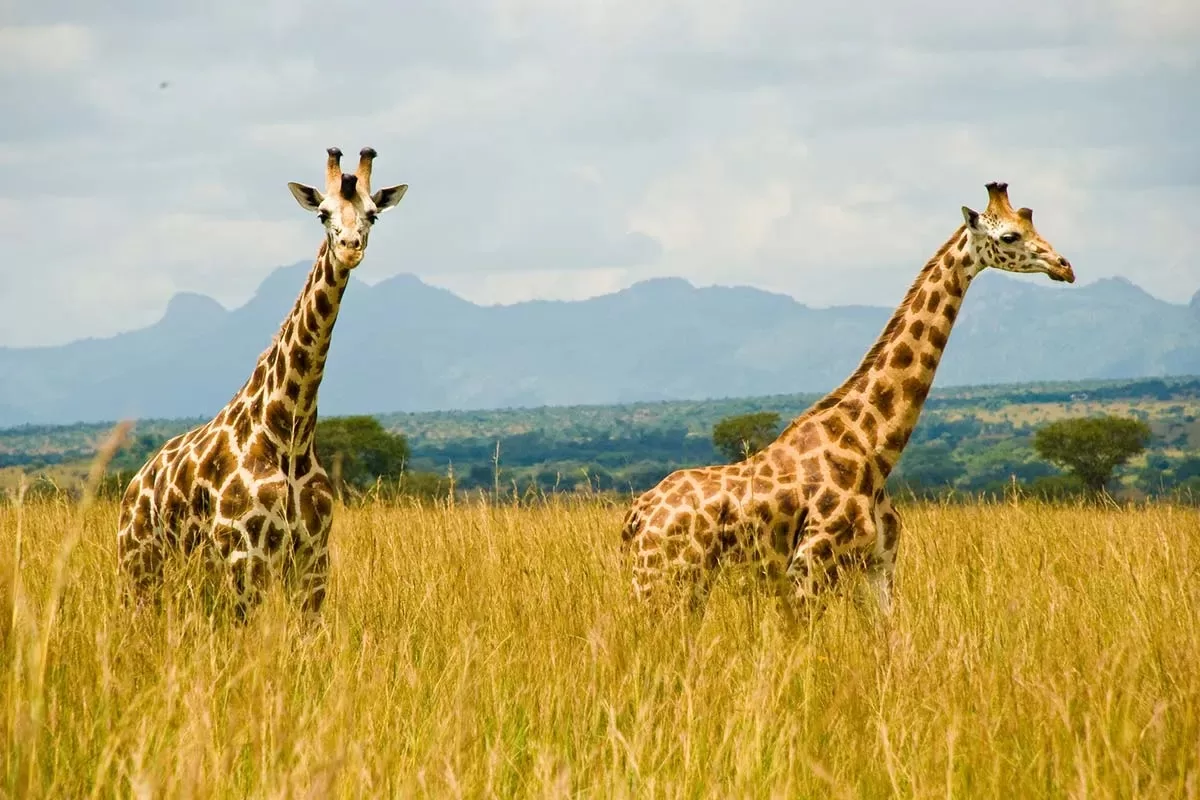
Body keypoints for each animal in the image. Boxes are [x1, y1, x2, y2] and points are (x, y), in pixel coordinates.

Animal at [116, 145, 410, 618]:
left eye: (373, 214)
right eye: (323, 214)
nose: (350, 248)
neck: (288, 436)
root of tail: (134, 485)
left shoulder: (313, 559)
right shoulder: (245, 555)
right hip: (139, 567)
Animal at [624, 181, 1075, 618]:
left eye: (1031, 222)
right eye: (1010, 235)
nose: (1064, 266)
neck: (873, 449)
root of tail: (636, 517)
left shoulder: (877, 567)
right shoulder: (807, 569)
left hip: (677, 582)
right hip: (665, 578)